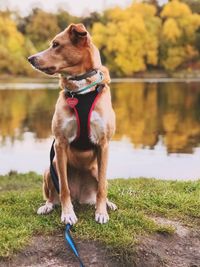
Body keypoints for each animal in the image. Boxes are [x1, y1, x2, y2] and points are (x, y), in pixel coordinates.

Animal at [28, 23, 117, 225]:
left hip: (98, 170)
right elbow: (64, 189)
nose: (30, 58)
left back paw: (108, 204)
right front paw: (68, 214)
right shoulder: (60, 143)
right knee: (53, 195)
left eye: (56, 44)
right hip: (50, 167)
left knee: (102, 185)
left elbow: (101, 189)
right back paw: (47, 206)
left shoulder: (104, 144)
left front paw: (101, 212)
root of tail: (80, 197)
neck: (81, 91)